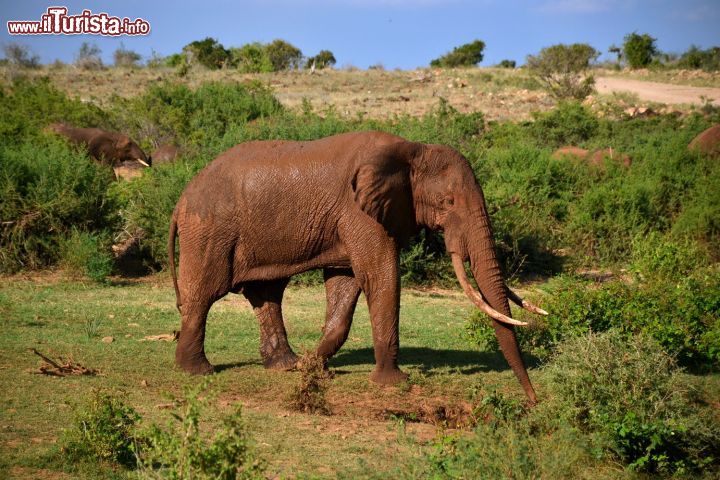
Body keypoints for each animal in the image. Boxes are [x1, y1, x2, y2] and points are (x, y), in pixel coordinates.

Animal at [169, 129, 548, 404]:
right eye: (448, 202)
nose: (533, 400)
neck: (413, 150)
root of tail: (182, 196)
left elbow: (346, 281)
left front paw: (312, 366)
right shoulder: (358, 212)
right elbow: (379, 273)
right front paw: (393, 382)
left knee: (267, 293)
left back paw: (284, 366)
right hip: (209, 230)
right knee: (204, 293)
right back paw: (197, 372)